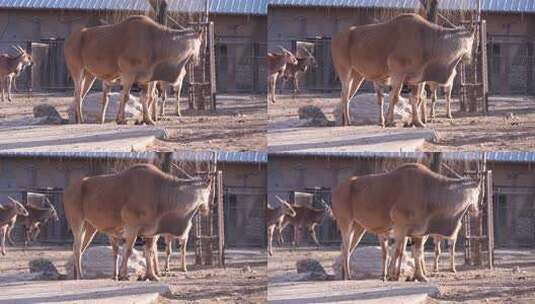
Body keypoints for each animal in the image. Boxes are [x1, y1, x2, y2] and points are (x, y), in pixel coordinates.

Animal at [64, 15, 203, 124]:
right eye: (200, 43)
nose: (197, 60)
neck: (155, 40)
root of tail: (70, 40)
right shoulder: (128, 75)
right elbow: (125, 96)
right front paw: (122, 120)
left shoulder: (146, 79)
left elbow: (146, 97)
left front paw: (148, 120)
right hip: (77, 71)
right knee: (77, 94)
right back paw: (81, 120)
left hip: (89, 75)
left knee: (82, 95)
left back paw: (78, 118)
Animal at [66, 164, 217, 280]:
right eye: (209, 191)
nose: (207, 209)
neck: (160, 192)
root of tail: (70, 189)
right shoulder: (132, 228)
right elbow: (129, 251)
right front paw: (124, 275)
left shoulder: (150, 233)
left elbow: (148, 251)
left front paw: (152, 276)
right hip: (78, 224)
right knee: (77, 248)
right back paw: (80, 276)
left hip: (90, 228)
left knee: (81, 249)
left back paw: (77, 275)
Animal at [332, 13, 476, 126]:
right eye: (472, 41)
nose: (470, 58)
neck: (427, 39)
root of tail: (337, 38)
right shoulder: (398, 74)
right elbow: (395, 96)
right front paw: (391, 121)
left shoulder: (416, 79)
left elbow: (416, 98)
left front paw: (417, 122)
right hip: (345, 72)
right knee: (345, 94)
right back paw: (348, 121)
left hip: (357, 76)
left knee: (347, 96)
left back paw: (345, 120)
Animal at [336, 165, 482, 282]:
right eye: (479, 192)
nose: (476, 210)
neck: (428, 189)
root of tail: (338, 189)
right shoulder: (401, 228)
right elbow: (398, 252)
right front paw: (394, 276)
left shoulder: (417, 233)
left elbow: (417, 253)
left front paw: (420, 276)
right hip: (346, 223)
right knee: (346, 248)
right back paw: (348, 276)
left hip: (359, 228)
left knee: (347, 249)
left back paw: (344, 275)